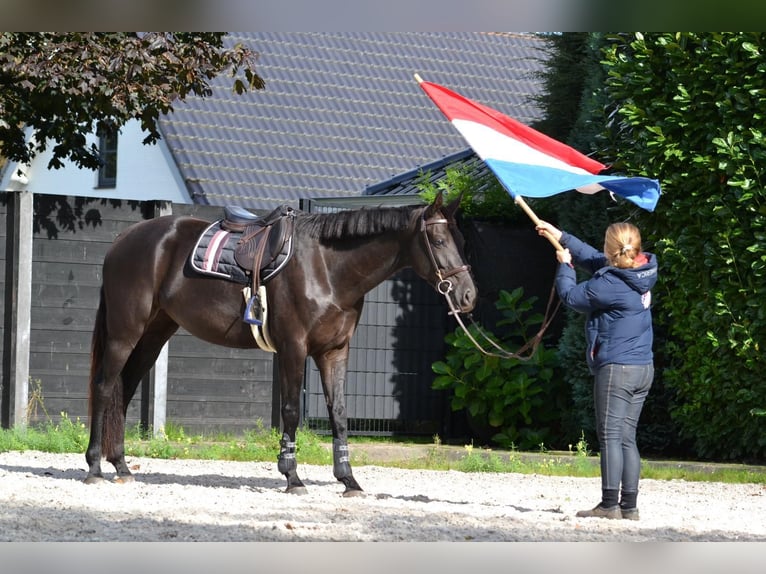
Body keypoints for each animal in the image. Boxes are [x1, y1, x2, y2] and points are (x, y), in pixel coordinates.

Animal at [87, 192, 476, 496]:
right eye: (438, 242)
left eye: (461, 241)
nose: (468, 295)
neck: (327, 267)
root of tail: (124, 239)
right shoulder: (294, 348)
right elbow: (290, 411)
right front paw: (292, 476)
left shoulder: (335, 351)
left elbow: (339, 413)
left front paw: (348, 480)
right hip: (125, 332)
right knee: (105, 387)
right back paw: (94, 468)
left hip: (154, 334)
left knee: (125, 389)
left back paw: (121, 466)